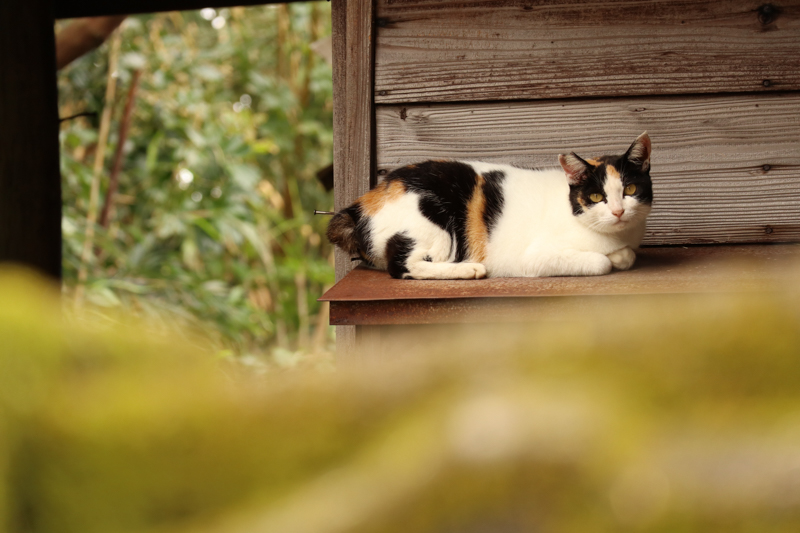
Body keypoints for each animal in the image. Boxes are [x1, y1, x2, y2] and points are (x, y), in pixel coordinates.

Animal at [328, 132, 652, 278]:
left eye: (630, 189)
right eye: (597, 197)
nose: (618, 211)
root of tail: (361, 203)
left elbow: (627, 255)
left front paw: (622, 255)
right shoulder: (535, 257)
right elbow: (600, 262)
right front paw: (610, 258)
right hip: (433, 224)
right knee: (404, 265)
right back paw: (467, 269)